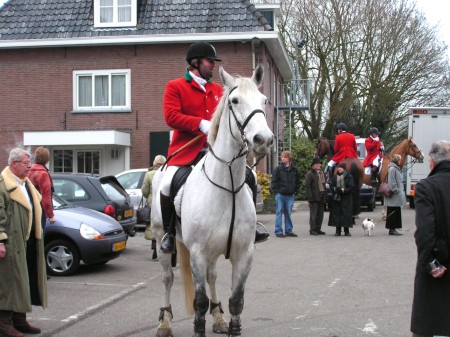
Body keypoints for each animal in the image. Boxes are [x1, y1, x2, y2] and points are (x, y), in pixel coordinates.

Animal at [151, 63, 272, 336]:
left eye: (264, 100)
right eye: (234, 101)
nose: (264, 140)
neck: (227, 188)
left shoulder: (244, 254)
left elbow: (236, 302)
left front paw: (227, 321)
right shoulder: (197, 253)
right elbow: (199, 303)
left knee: (212, 277)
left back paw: (218, 317)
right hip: (163, 238)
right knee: (167, 279)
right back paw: (164, 322)